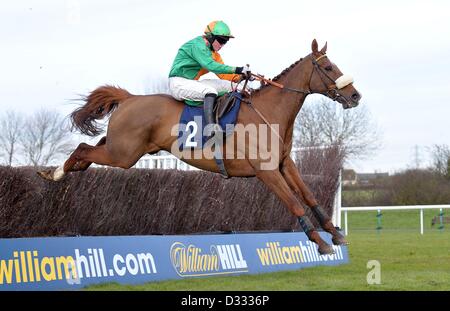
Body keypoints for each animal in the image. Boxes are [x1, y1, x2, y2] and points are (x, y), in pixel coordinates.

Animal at [38, 39, 362, 255]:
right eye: (329, 66)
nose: (354, 95)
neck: (270, 113)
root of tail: (130, 97)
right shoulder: (266, 171)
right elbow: (294, 202)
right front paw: (320, 243)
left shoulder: (284, 163)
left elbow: (309, 196)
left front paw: (335, 234)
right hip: (124, 155)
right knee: (83, 147)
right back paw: (54, 173)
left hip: (122, 148)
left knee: (89, 150)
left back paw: (63, 170)